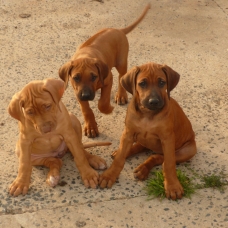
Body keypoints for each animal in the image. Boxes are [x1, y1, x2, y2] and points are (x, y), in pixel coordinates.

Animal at [58, 4, 151, 138]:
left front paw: (107, 109)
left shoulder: (108, 79)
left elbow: (103, 102)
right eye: (76, 78)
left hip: (121, 62)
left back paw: (121, 95)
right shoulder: (77, 91)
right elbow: (86, 110)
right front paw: (91, 127)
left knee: (121, 77)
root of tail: (118, 30)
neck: (85, 55)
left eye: (93, 77)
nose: (86, 95)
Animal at [99, 62, 197, 200]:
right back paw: (122, 152)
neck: (147, 114)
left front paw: (172, 186)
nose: (154, 102)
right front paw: (109, 175)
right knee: (139, 147)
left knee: (157, 157)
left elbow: (169, 164)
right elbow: (119, 160)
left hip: (189, 150)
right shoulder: (128, 133)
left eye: (161, 82)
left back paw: (143, 169)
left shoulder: (167, 139)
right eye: (142, 83)